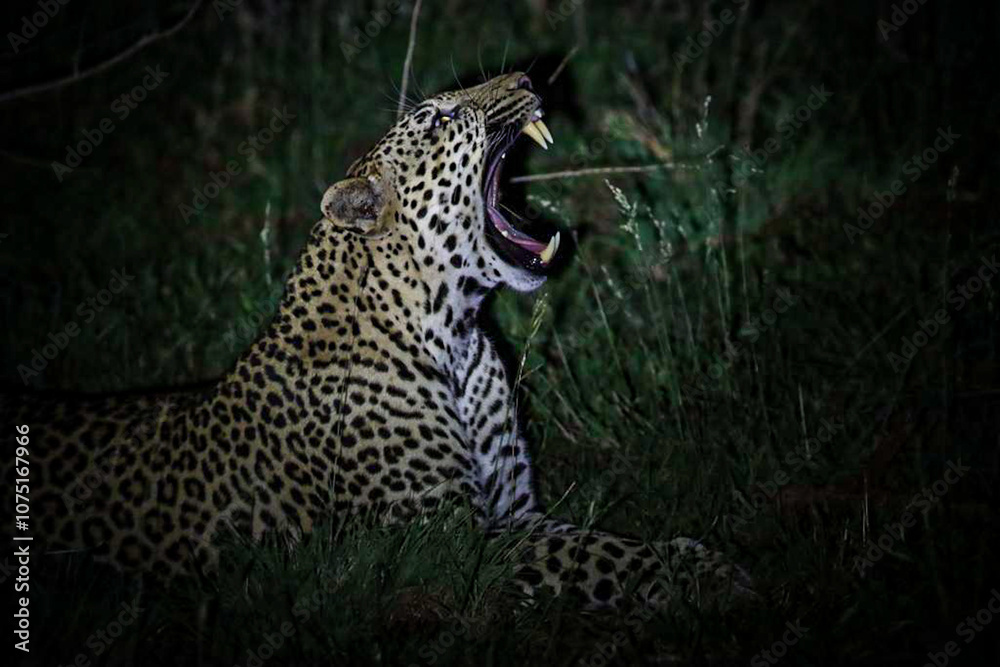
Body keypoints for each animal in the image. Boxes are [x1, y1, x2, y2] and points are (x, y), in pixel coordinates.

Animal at [1, 72, 746, 609]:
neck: (454, 333)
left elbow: (597, 540)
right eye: (441, 118)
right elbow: (596, 555)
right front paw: (702, 575)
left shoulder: (517, 510)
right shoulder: (450, 544)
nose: (529, 78)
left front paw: (689, 557)